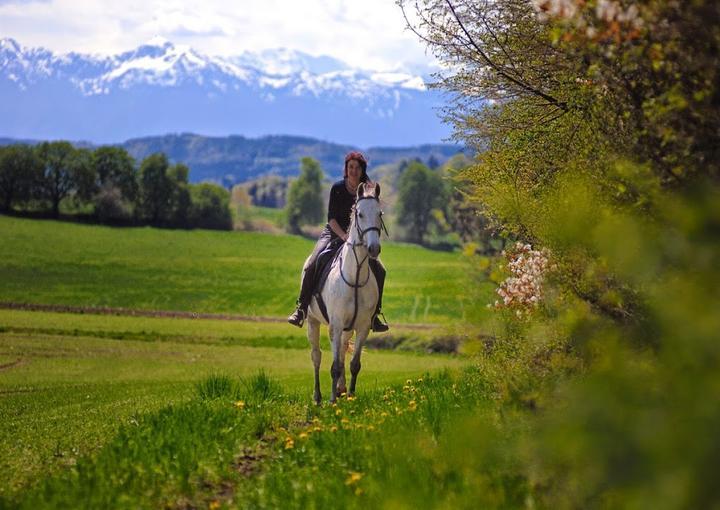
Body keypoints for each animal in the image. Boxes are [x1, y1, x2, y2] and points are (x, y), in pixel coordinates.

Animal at [304, 181, 382, 404]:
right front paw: (332, 401)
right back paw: (318, 397)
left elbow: (354, 364)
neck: (354, 277)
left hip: (347, 329)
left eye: (379, 213)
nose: (374, 248)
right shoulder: (336, 325)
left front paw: (351, 396)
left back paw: (341, 389)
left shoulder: (363, 327)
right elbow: (334, 366)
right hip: (312, 321)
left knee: (341, 353)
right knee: (317, 356)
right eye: (360, 214)